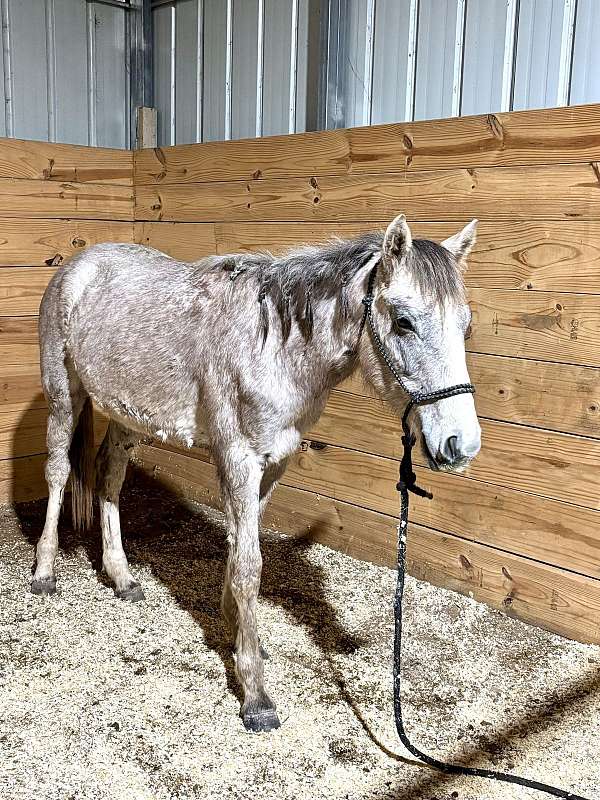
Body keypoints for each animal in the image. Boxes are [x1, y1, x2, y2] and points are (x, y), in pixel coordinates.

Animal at [32, 213, 481, 733]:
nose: (461, 444)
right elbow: (250, 566)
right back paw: (44, 572)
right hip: (64, 396)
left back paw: (122, 577)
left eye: (465, 327)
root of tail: (78, 265)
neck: (273, 348)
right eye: (404, 322)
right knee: (58, 470)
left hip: (128, 415)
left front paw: (237, 633)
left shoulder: (273, 461)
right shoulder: (238, 458)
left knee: (109, 477)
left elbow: (240, 548)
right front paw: (256, 696)